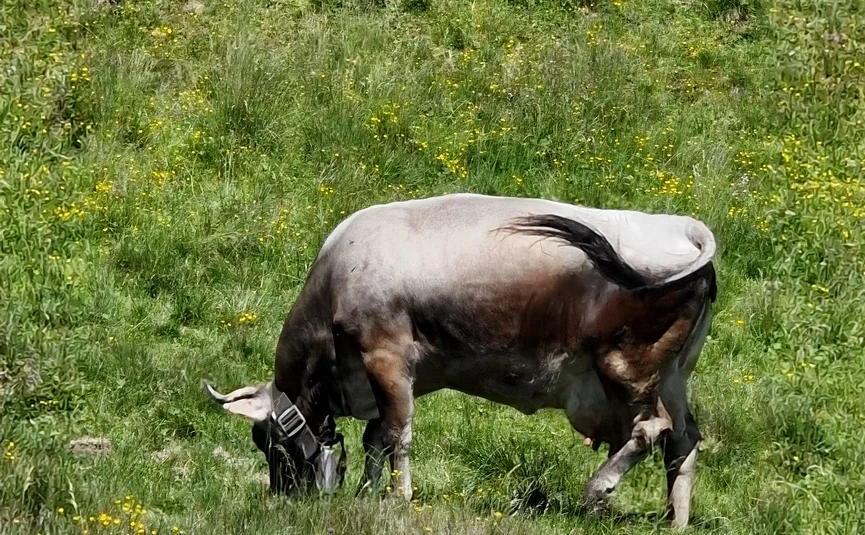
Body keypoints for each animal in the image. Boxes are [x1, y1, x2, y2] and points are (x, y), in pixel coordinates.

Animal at [204, 192, 717, 529]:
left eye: (268, 442)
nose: (282, 500)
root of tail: (686, 229)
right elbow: (375, 438)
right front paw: (369, 492)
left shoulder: (386, 355)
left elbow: (397, 434)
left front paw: (398, 497)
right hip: (674, 373)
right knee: (684, 438)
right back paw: (676, 520)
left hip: (626, 367)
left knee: (651, 429)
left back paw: (597, 491)